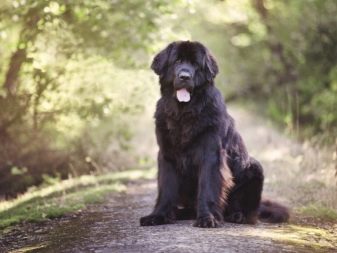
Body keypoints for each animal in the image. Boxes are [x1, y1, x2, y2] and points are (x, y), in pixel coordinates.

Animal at [139, 41, 288, 227]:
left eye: (195, 64)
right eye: (177, 61)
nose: (185, 76)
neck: (184, 113)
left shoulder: (210, 154)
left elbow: (208, 187)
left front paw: (207, 218)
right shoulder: (167, 154)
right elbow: (166, 188)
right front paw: (158, 215)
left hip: (254, 168)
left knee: (248, 212)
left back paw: (237, 216)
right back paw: (180, 213)